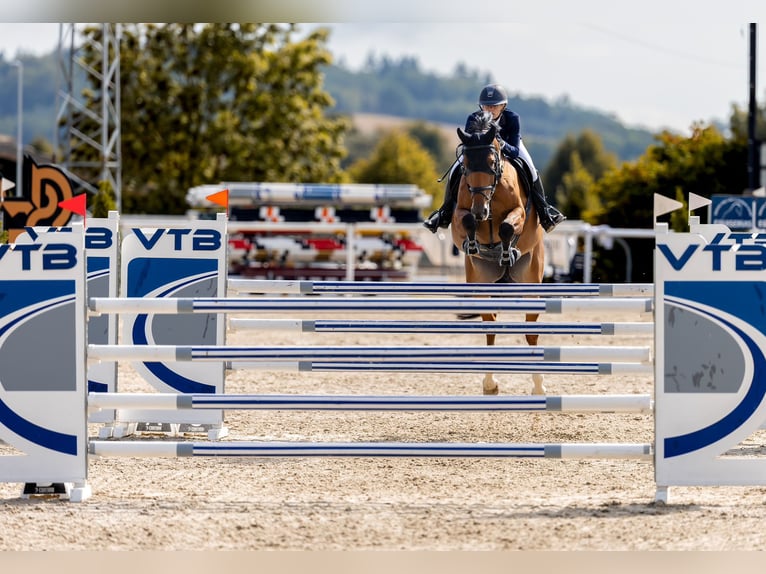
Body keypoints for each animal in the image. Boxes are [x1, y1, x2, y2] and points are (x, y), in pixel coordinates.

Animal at [449, 112, 546, 395]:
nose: (481, 211)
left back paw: (539, 386)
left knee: (531, 331)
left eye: (492, 162)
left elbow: (506, 226)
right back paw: (490, 383)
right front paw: (473, 242)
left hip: (531, 279)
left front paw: (506, 251)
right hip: (480, 281)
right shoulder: (460, 213)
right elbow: (466, 220)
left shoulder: (519, 212)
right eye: (466, 164)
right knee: (490, 326)